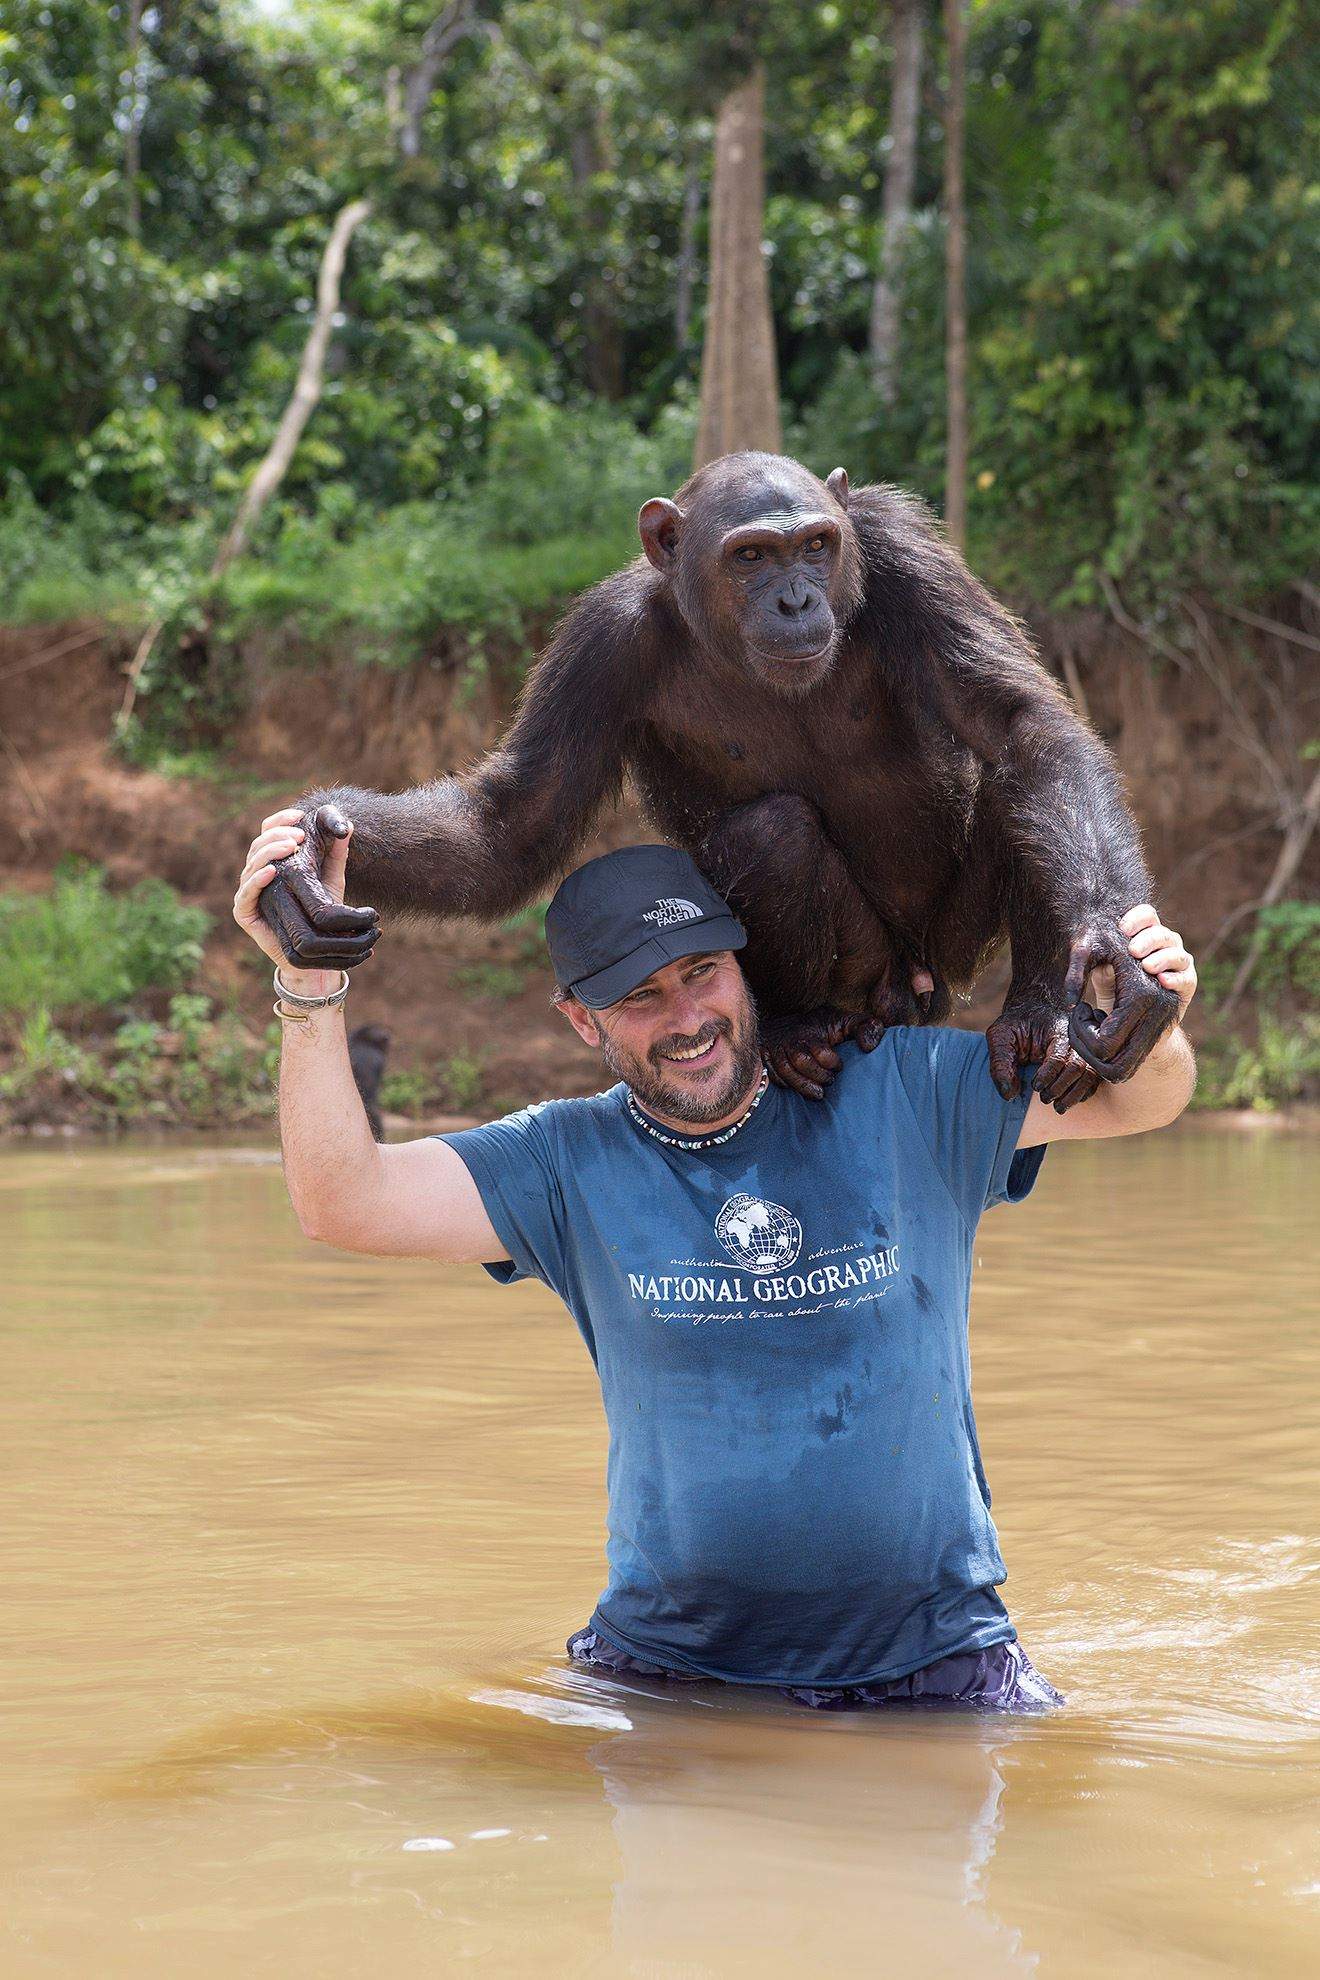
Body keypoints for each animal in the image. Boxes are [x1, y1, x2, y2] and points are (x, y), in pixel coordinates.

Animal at [261, 453, 1179, 1116]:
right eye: (750, 556)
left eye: (816, 544)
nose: (796, 598)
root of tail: (914, 988)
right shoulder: (599, 646)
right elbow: (513, 825)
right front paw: (304, 852)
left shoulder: (905, 554)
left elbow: (1019, 722)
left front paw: (1112, 947)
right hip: (869, 973)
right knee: (769, 834)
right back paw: (799, 1029)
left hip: (950, 945)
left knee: (1016, 777)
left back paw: (1035, 1015)